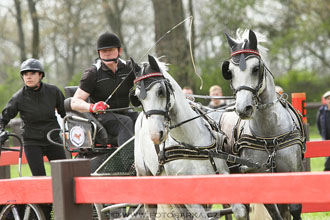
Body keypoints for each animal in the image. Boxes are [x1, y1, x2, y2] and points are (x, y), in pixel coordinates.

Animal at [133, 55, 246, 220]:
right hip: (146, 177)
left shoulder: (221, 175)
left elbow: (240, 212)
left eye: (160, 91)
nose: (155, 134)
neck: (191, 143)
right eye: (137, 98)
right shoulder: (188, 197)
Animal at [219, 29, 306, 220]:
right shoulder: (257, 176)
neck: (270, 134)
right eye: (230, 72)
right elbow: (274, 212)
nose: (243, 108)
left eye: (255, 69)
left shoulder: (292, 171)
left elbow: (294, 208)